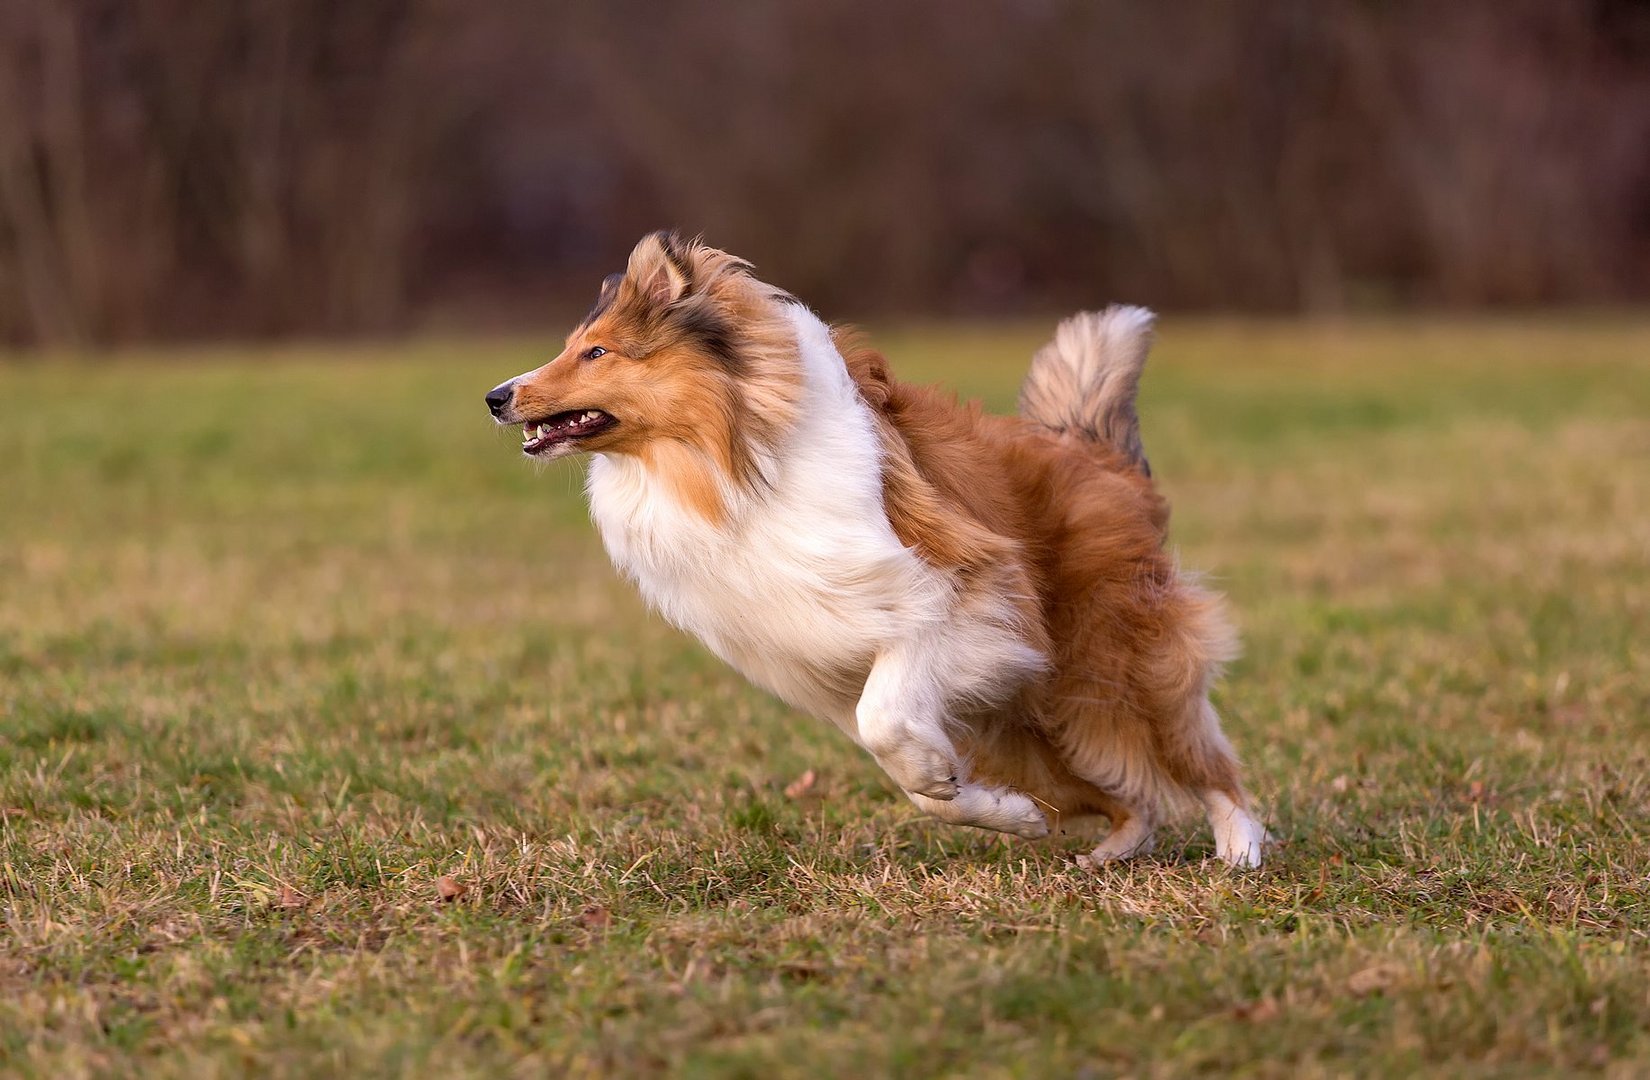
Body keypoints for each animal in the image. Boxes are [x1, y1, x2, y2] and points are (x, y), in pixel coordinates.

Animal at [481, 232, 1267, 864]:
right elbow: (918, 780)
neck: (730, 457)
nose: (495, 396)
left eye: (596, 351)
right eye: (573, 346)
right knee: (1126, 797)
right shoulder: (844, 669)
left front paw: (955, 787)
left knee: (1202, 763)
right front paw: (1001, 813)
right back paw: (1109, 850)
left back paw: (1239, 851)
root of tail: (1092, 448)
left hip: (1110, 672)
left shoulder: (958, 597)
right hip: (1031, 722)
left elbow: (885, 722)